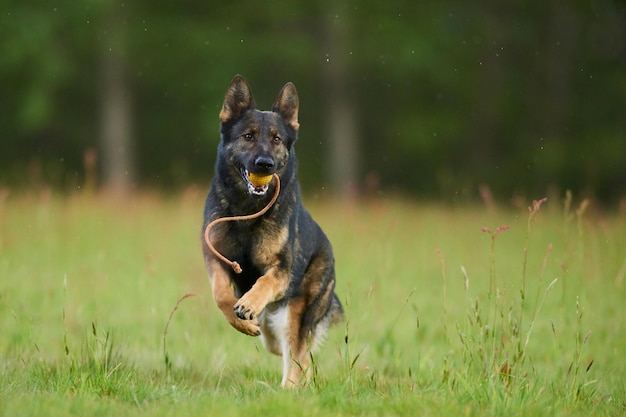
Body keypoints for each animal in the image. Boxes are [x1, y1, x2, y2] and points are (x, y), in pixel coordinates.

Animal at [200, 74, 344, 386]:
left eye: (276, 139)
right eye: (248, 136)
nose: (264, 164)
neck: (247, 211)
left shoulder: (281, 270)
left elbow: (265, 281)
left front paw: (249, 304)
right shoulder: (215, 257)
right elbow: (220, 293)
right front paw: (239, 318)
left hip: (296, 313)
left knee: (298, 355)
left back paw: (289, 389)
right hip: (273, 326)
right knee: (284, 347)